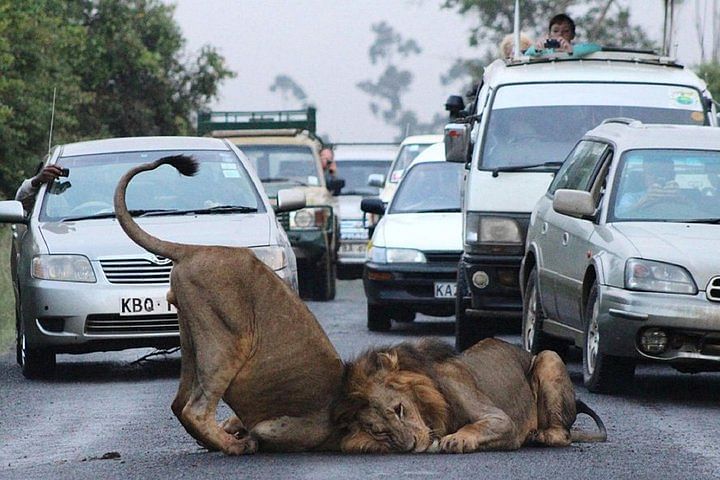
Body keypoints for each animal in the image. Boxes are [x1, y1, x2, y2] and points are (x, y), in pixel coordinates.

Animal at [114, 156, 344, 456]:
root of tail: (194, 249)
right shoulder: (300, 426)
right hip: (227, 341)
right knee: (195, 409)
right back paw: (236, 446)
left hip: (191, 336)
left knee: (179, 403)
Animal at [334, 336, 604, 452]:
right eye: (379, 431)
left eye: (399, 409)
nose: (410, 446)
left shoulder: (502, 420)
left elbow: (480, 425)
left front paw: (457, 439)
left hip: (549, 356)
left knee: (563, 435)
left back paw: (540, 435)